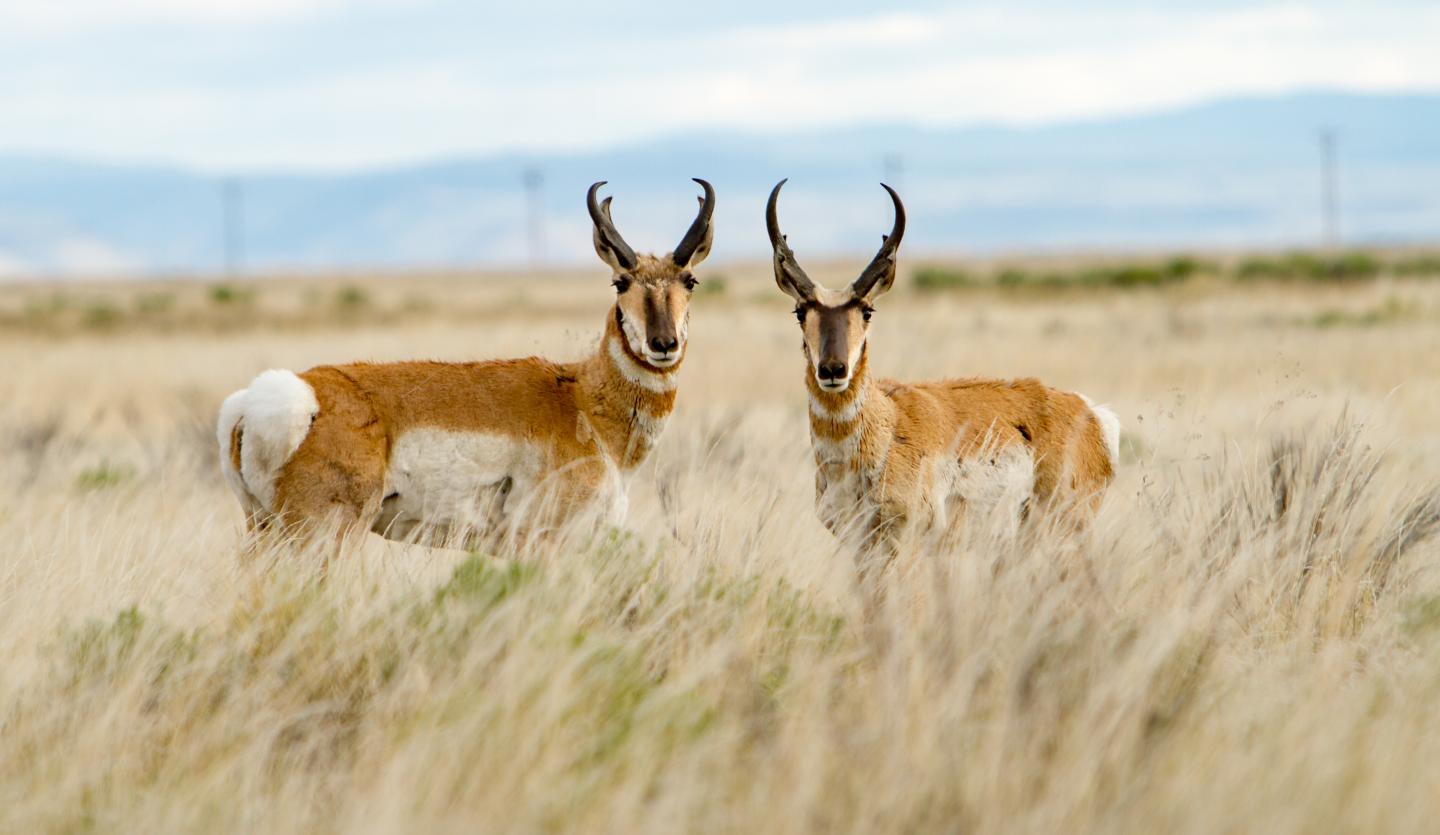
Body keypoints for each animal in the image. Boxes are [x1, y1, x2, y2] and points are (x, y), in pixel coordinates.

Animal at [217, 177, 714, 547]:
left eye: (689, 281)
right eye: (620, 282)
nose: (663, 343)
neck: (581, 399)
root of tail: (280, 398)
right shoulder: (546, 542)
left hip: (263, 531)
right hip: (323, 535)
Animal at [766, 182, 1111, 558]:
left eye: (867, 311)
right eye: (800, 311)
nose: (833, 369)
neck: (886, 421)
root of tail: (1091, 412)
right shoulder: (860, 545)